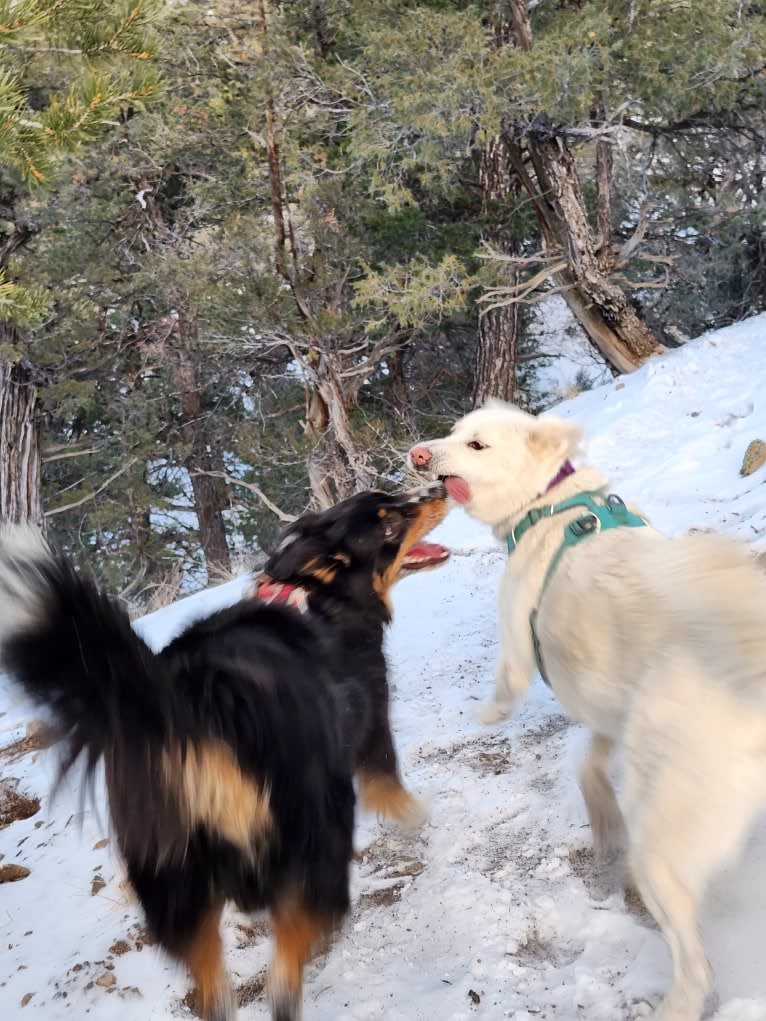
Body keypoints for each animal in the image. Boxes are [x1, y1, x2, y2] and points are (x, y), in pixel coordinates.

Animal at [0, 483, 449, 1021]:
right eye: (389, 523)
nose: (440, 487)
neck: (320, 593)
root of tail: (189, 702)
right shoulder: (371, 729)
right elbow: (393, 791)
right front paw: (423, 819)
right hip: (316, 828)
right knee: (293, 949)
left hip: (170, 876)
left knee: (213, 979)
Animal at [414, 400, 766, 1021]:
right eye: (454, 432)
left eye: (476, 445)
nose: (418, 455)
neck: (549, 503)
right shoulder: (612, 709)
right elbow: (589, 766)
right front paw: (603, 822)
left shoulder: (519, 643)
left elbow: (506, 689)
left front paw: (485, 717)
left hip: (662, 848)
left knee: (696, 967)